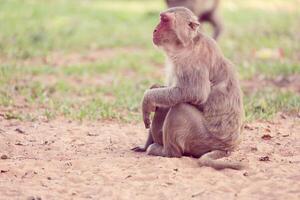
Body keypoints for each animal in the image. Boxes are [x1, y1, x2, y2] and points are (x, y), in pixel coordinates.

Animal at [132, 7, 245, 170]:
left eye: (165, 20)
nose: (154, 30)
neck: (186, 45)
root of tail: (227, 148)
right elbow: (167, 91)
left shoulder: (192, 61)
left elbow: (194, 93)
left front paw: (147, 99)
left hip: (204, 139)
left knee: (180, 108)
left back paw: (166, 151)